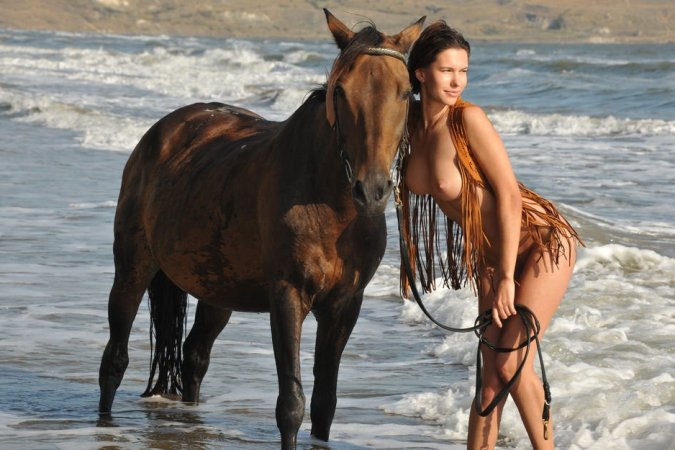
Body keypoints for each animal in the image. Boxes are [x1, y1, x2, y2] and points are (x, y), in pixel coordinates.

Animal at [98, 9, 424, 449]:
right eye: (341, 91)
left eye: (405, 93)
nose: (372, 190)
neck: (333, 206)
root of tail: (162, 132)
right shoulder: (287, 297)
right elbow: (291, 404)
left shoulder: (344, 306)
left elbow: (324, 403)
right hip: (133, 267)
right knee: (114, 358)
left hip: (216, 288)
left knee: (194, 356)